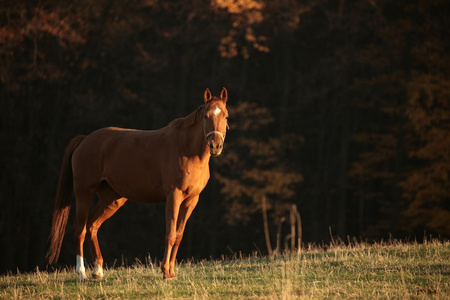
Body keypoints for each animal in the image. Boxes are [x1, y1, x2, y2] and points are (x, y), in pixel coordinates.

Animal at [46, 88, 229, 280]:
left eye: (226, 116)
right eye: (206, 116)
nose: (216, 145)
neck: (186, 150)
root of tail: (85, 139)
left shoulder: (191, 200)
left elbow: (178, 235)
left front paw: (171, 272)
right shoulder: (174, 196)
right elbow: (170, 234)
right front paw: (165, 271)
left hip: (112, 199)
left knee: (92, 225)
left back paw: (98, 270)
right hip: (84, 193)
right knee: (79, 229)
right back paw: (81, 273)